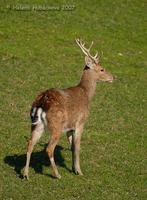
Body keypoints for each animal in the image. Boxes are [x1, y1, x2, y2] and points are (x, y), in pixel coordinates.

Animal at [23, 38, 114, 180]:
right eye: (102, 69)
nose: (113, 77)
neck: (86, 94)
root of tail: (41, 103)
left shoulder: (69, 128)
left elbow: (72, 147)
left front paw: (73, 168)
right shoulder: (80, 122)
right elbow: (77, 147)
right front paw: (79, 171)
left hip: (36, 124)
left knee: (30, 143)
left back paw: (25, 174)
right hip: (56, 126)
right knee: (49, 148)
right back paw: (57, 174)